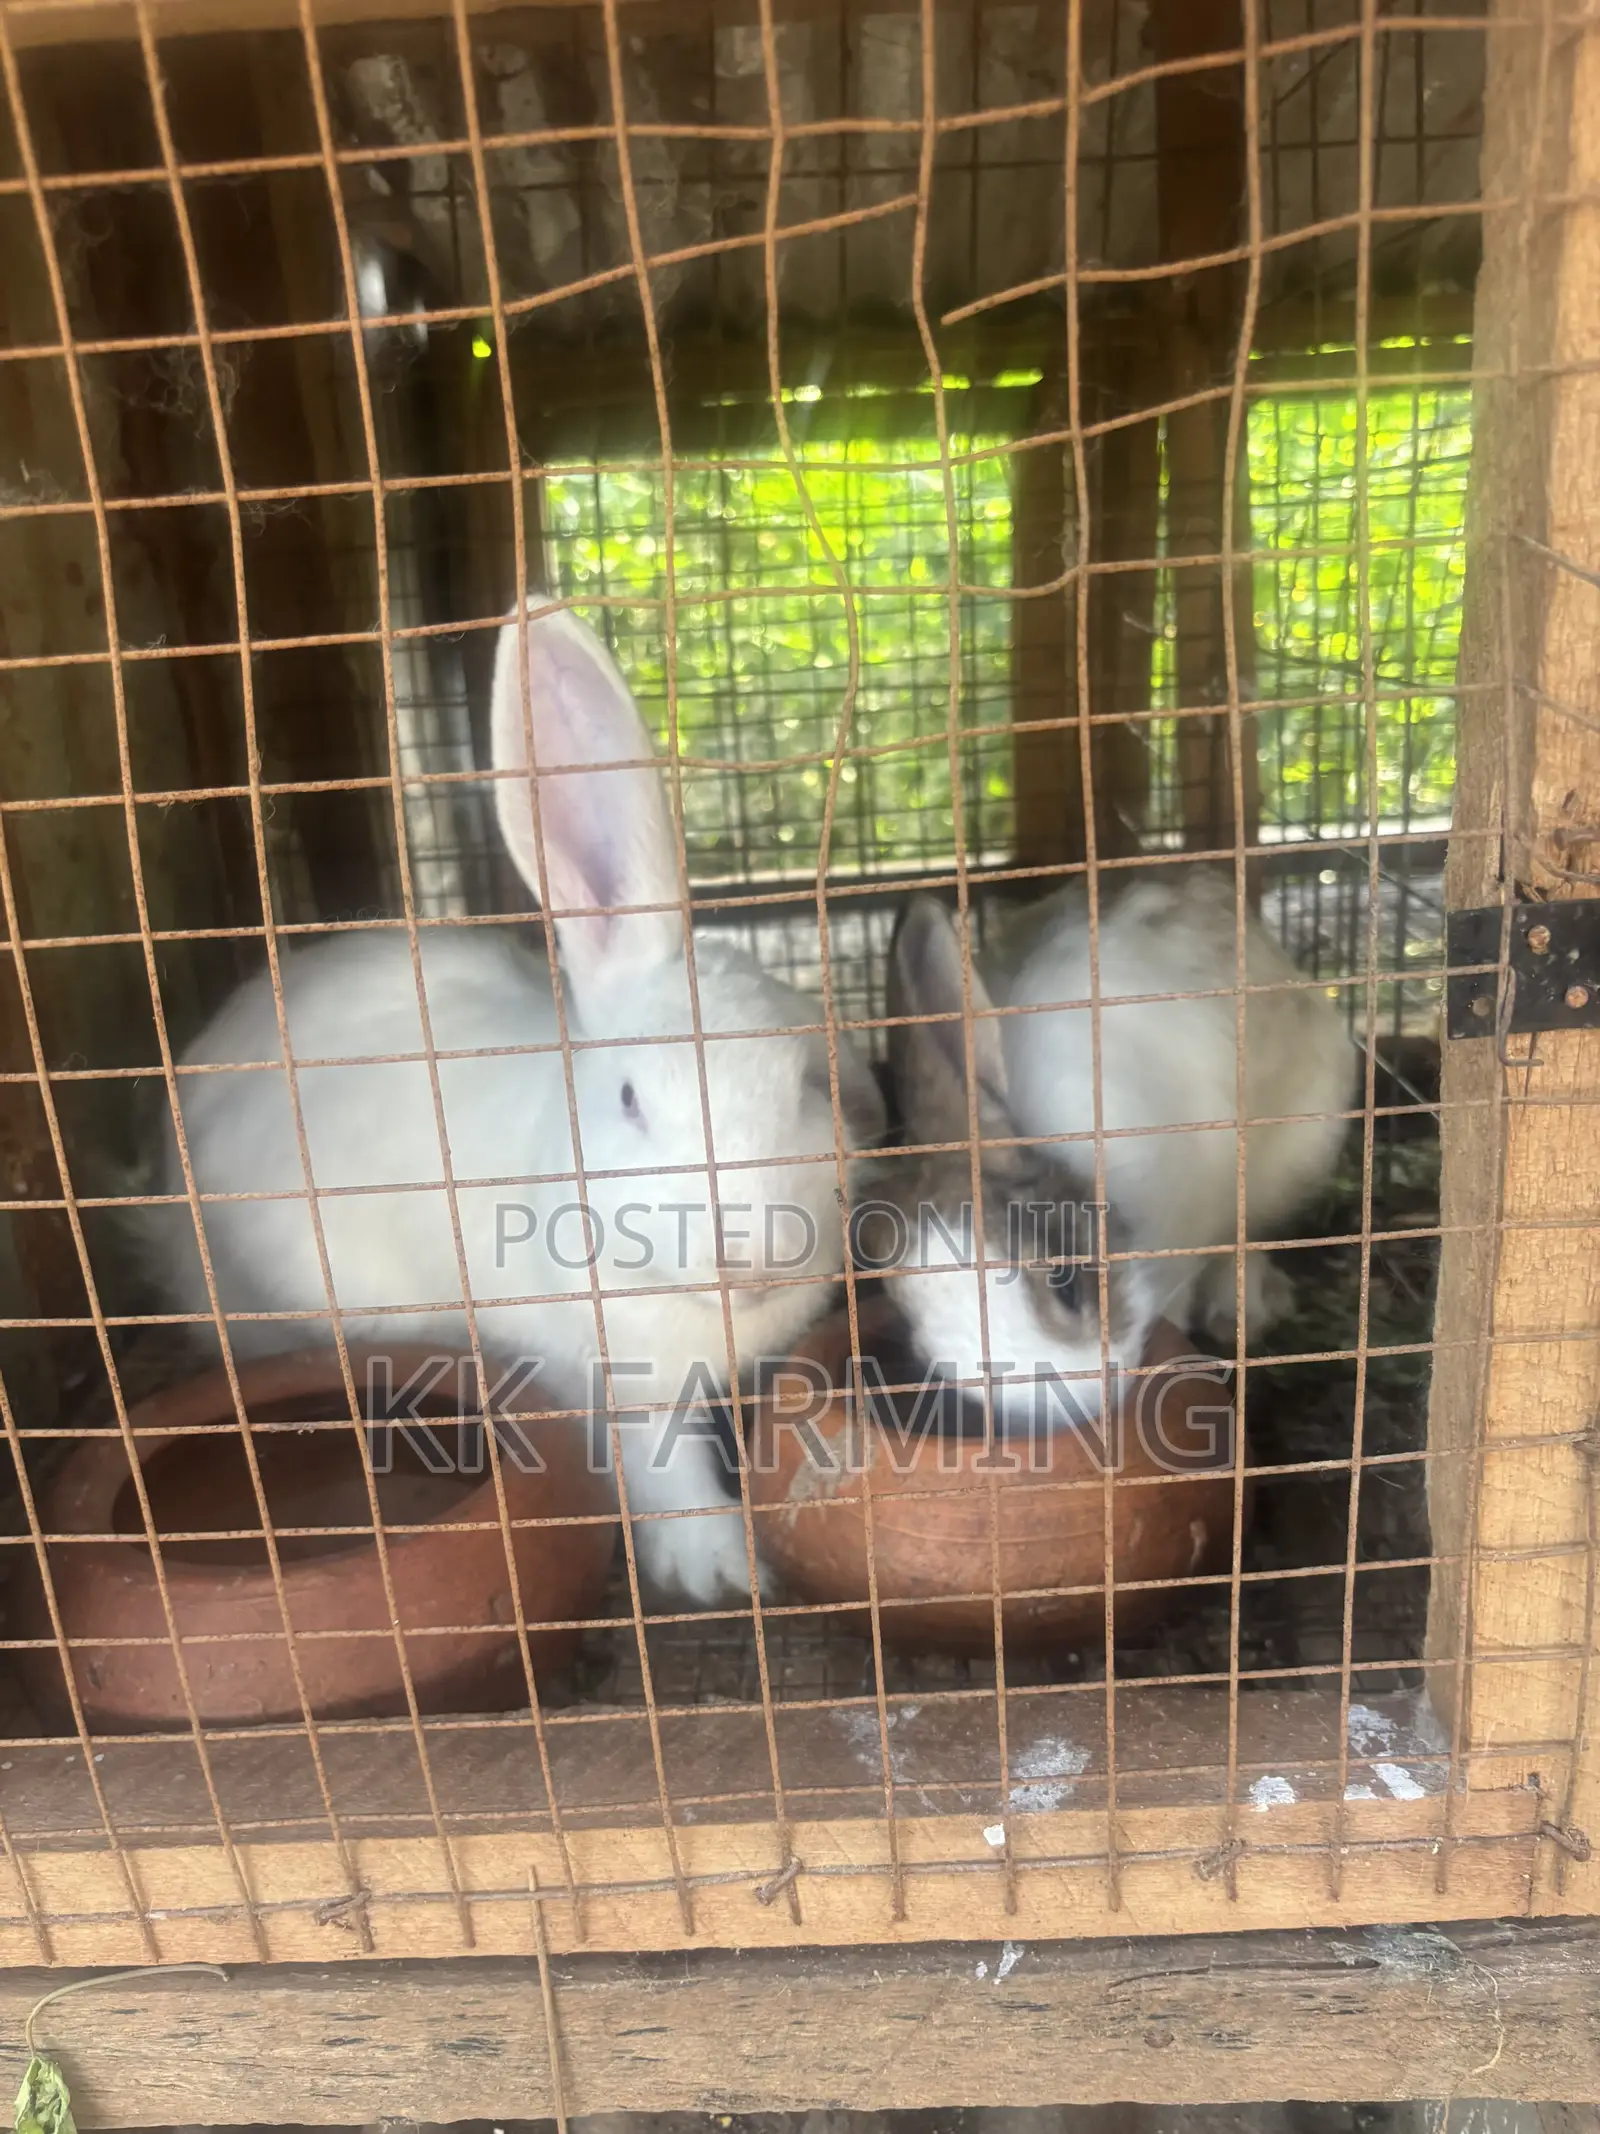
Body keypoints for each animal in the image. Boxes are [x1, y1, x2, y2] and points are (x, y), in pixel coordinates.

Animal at [139, 601, 885, 1607]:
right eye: (630, 1099)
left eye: (807, 1083)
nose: (752, 1250)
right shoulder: (601, 1374)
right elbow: (658, 1466)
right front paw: (721, 1569)